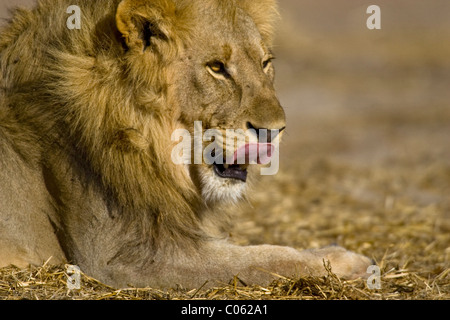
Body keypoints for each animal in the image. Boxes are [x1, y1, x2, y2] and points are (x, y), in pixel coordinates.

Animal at [0, 0, 372, 288]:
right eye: (216, 68)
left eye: (265, 63)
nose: (275, 130)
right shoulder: (119, 256)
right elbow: (259, 258)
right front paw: (345, 260)